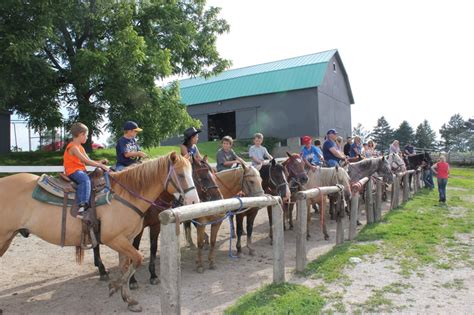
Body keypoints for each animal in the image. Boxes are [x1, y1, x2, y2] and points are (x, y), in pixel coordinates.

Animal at [0, 153, 199, 314]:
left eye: (192, 173)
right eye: (181, 175)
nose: (194, 202)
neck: (125, 195)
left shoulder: (126, 239)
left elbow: (126, 266)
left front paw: (129, 299)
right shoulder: (114, 239)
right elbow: (138, 259)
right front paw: (114, 287)